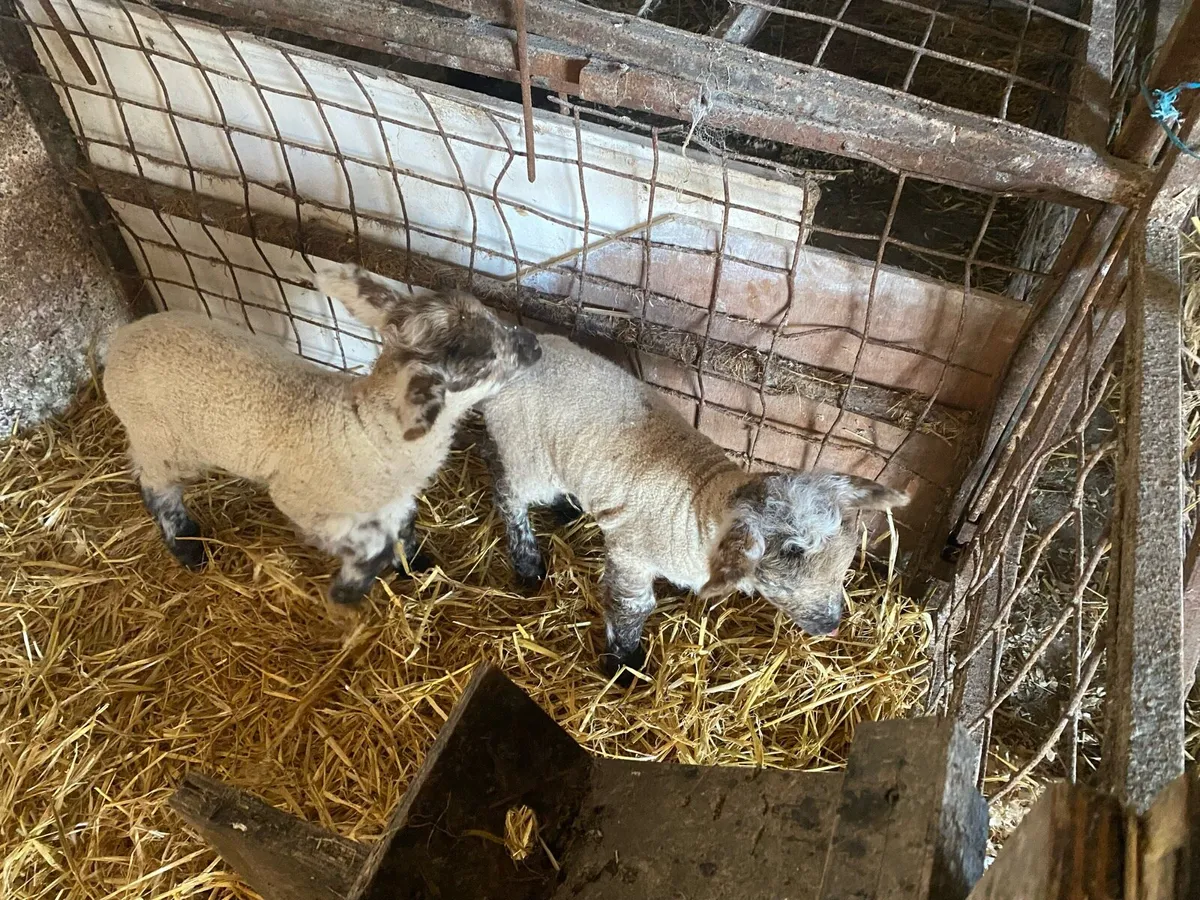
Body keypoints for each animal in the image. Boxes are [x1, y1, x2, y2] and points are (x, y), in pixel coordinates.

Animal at [103, 265, 541, 613]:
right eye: (484, 361)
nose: (535, 344)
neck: (367, 428)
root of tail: (120, 337)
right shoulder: (305, 505)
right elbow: (372, 544)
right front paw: (349, 592)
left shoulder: (393, 497)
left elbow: (402, 528)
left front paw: (416, 566)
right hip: (159, 437)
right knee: (155, 487)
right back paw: (187, 547)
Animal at [480, 334, 909, 677]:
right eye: (790, 558)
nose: (833, 625)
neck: (703, 501)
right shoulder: (630, 554)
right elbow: (630, 606)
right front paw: (624, 667)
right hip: (525, 453)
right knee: (506, 492)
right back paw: (527, 563)